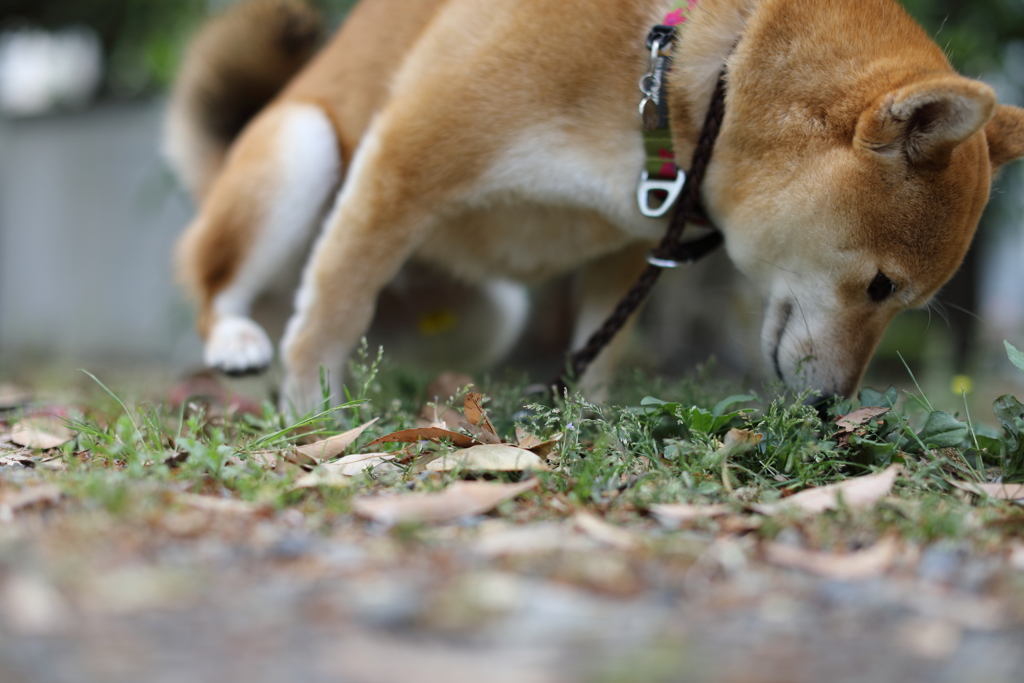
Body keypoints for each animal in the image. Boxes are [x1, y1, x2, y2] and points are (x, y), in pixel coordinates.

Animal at [165, 0, 1024, 411]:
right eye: (881, 285)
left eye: (899, 299)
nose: (827, 406)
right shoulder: (406, 156)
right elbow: (333, 311)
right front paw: (314, 408)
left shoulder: (637, 233)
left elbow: (601, 343)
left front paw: (589, 412)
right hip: (305, 145)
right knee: (221, 287)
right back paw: (239, 340)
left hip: (489, 314)